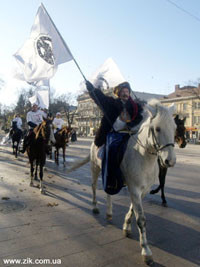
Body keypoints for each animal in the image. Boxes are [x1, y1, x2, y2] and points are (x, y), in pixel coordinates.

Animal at [67, 100, 175, 266]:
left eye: (174, 128)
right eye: (157, 128)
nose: (170, 161)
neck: (143, 157)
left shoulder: (142, 190)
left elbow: (133, 210)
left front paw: (126, 227)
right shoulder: (134, 188)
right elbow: (141, 219)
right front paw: (146, 251)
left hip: (108, 174)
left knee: (108, 192)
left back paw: (109, 212)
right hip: (95, 168)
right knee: (93, 187)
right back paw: (95, 207)